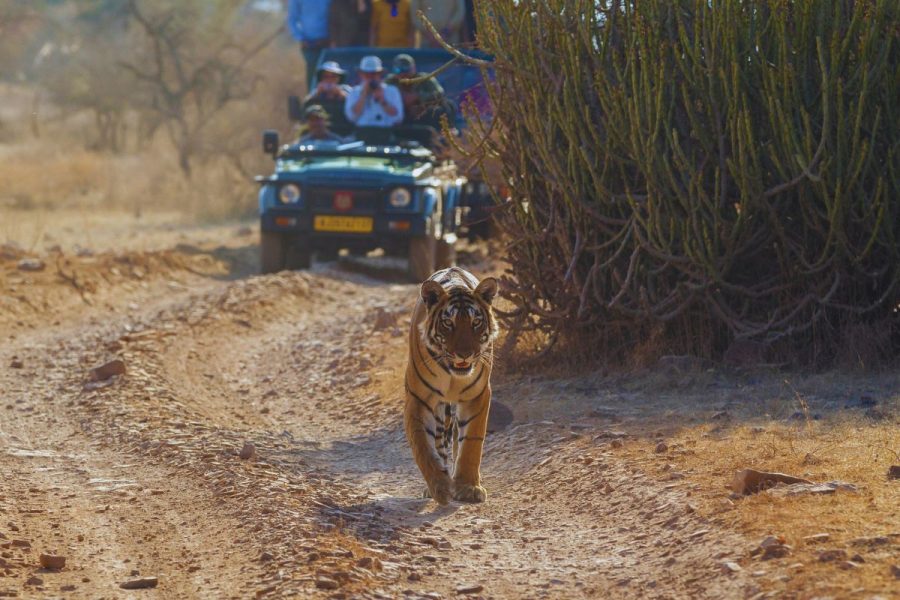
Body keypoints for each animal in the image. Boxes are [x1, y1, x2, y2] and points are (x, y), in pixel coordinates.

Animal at [404, 267, 499, 505]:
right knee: (439, 442)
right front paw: (440, 487)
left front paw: (468, 487)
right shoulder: (419, 400)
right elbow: (423, 447)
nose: (464, 354)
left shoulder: (477, 396)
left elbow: (471, 444)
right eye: (449, 323)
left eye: (476, 322)